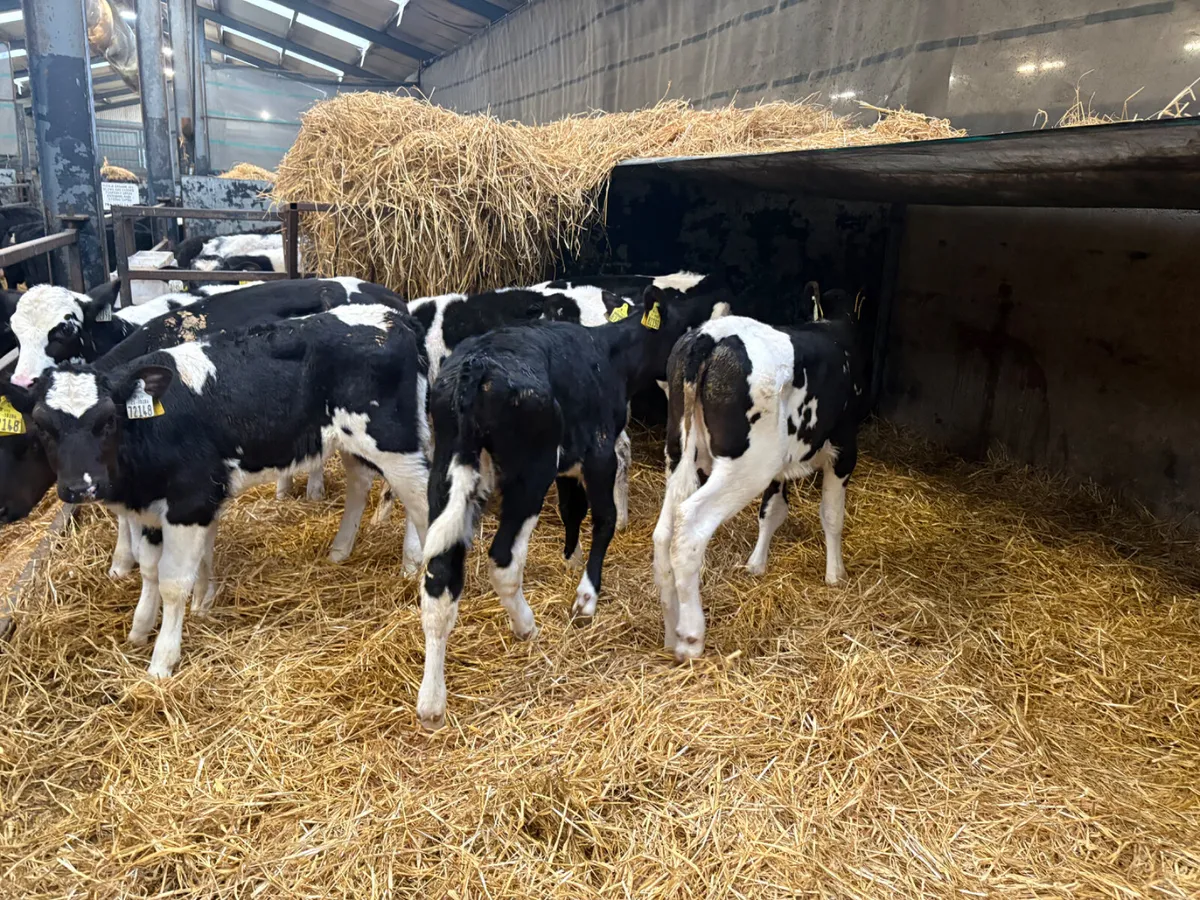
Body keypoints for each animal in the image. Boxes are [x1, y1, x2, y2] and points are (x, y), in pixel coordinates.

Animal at [0, 303, 430, 679]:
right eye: (42, 428)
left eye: (107, 420)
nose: (81, 487)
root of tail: (394, 317)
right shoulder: (157, 507)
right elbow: (151, 570)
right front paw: (144, 627)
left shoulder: (189, 501)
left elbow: (173, 581)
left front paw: (162, 660)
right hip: (355, 442)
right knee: (363, 485)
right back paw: (343, 551)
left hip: (396, 443)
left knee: (421, 502)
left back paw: (418, 569)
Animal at [415, 285, 729, 730]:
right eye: (686, 325)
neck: (608, 352)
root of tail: (476, 368)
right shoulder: (598, 452)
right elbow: (604, 519)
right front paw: (586, 595)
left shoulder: (569, 464)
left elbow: (570, 510)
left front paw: (571, 558)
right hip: (529, 473)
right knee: (503, 560)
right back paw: (526, 625)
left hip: (446, 468)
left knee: (439, 576)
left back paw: (431, 699)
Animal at [652, 285, 866, 665]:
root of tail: (708, 335)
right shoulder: (844, 449)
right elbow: (832, 515)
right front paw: (835, 575)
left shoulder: (779, 468)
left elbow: (772, 511)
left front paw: (756, 565)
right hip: (746, 466)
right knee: (690, 525)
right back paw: (691, 637)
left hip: (680, 450)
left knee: (664, 531)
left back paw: (670, 631)